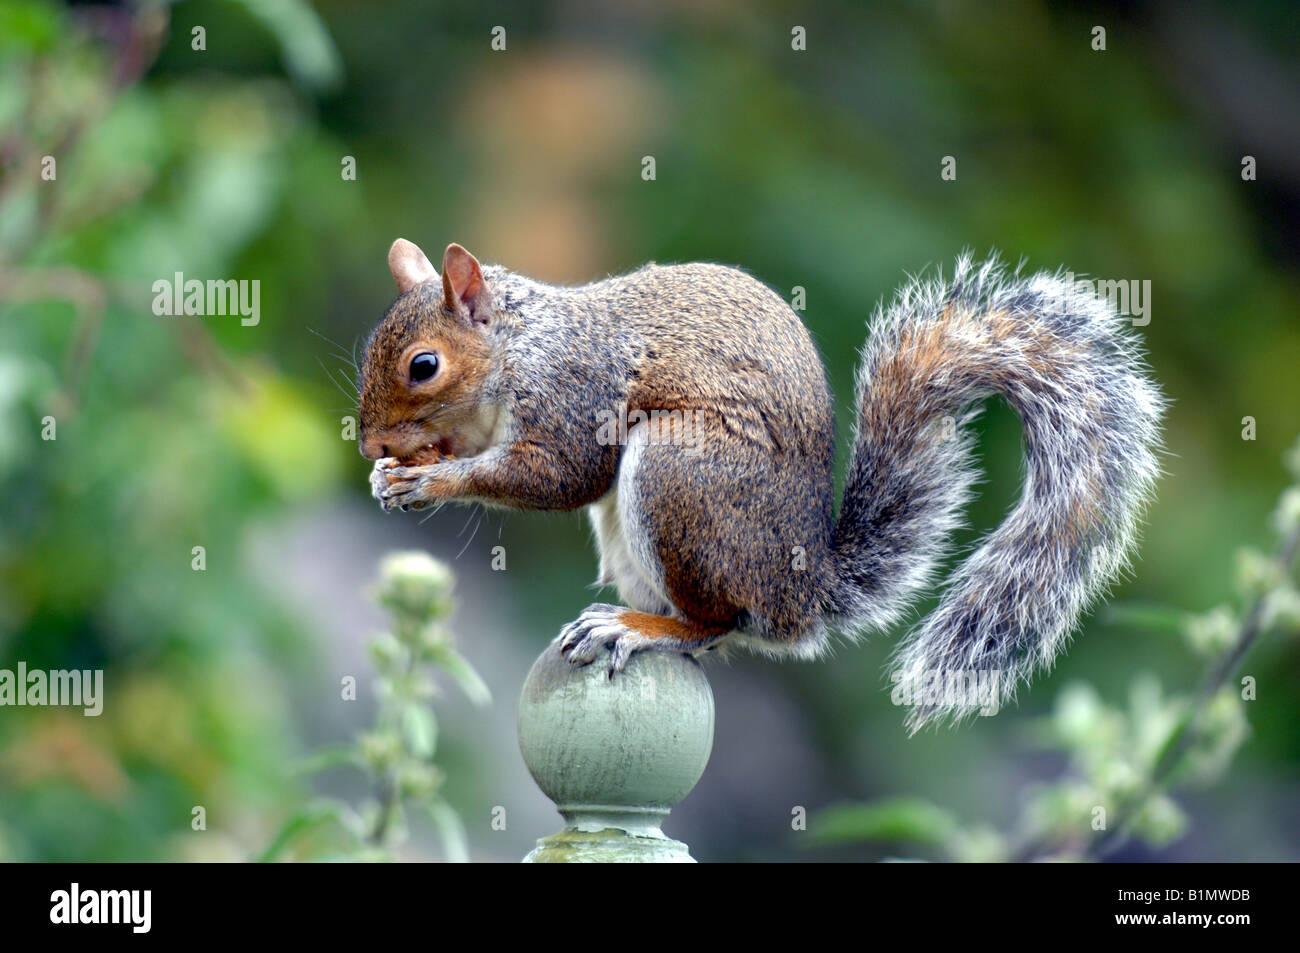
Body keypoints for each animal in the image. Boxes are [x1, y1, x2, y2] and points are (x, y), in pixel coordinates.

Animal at [358, 239, 1170, 728]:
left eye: (423, 365)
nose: (369, 442)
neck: (519, 347)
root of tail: (798, 593)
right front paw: (392, 473)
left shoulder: (574, 393)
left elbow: (558, 475)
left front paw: (433, 479)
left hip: (681, 478)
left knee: (715, 623)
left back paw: (640, 628)